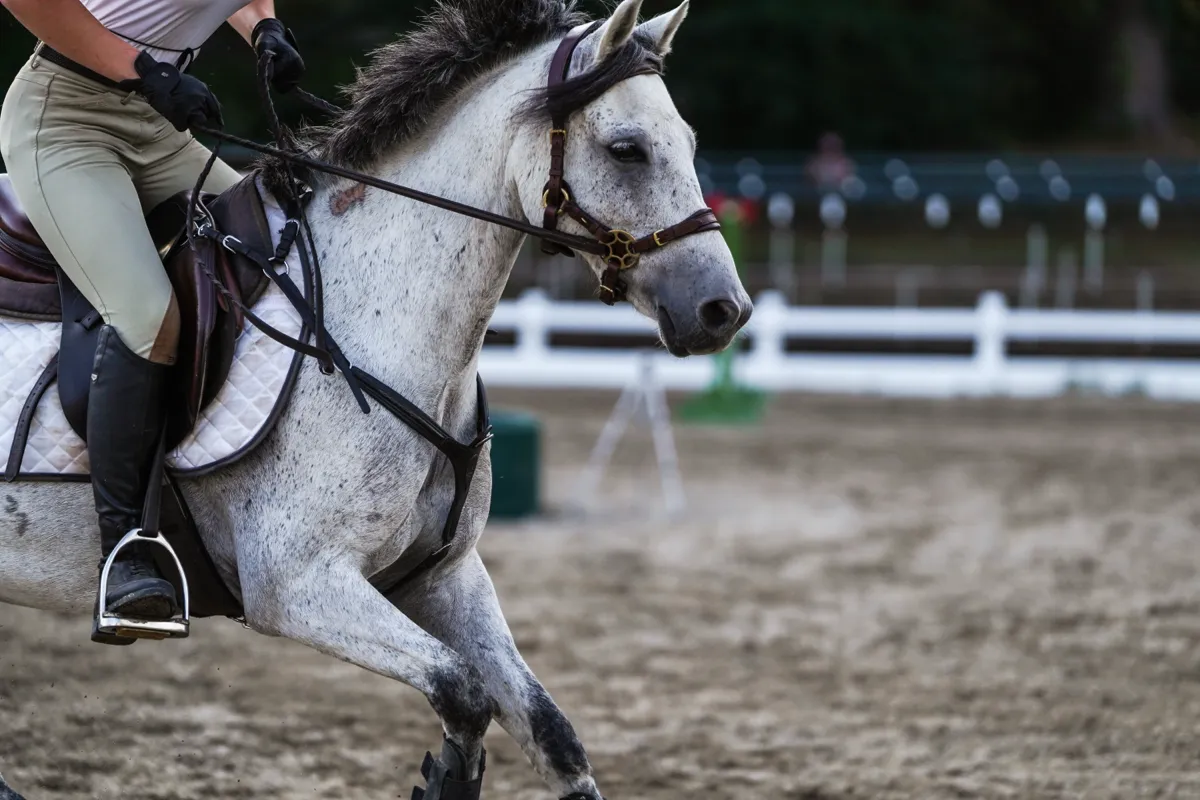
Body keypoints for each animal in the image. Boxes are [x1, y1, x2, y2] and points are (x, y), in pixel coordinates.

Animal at [0, 0, 750, 797]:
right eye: (626, 149)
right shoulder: (299, 586)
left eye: (687, 143)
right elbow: (463, 693)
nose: (723, 310)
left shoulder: (445, 577)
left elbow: (551, 731)